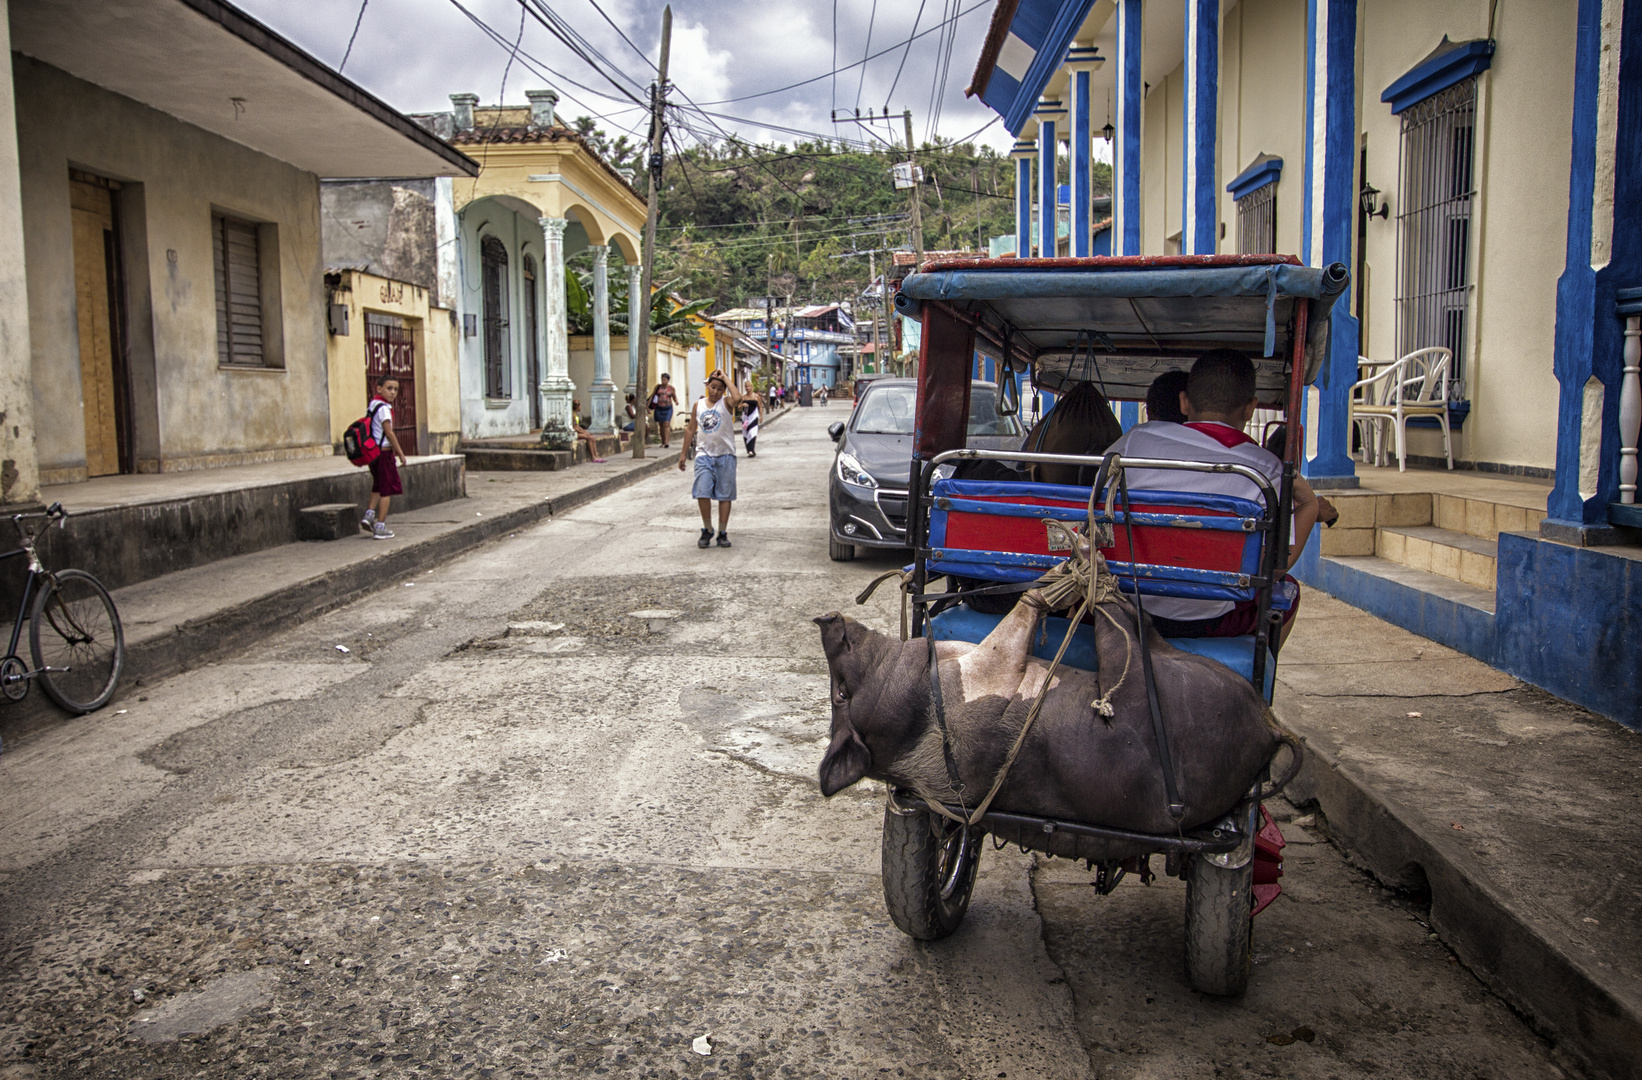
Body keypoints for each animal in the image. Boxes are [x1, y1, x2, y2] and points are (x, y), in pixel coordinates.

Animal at [814, 587, 1300, 833]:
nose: (824, 620)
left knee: (1144, 624)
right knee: (1126, 625)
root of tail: (1271, 729)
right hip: (1146, 690)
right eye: (841, 694)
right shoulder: (988, 671)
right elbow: (1017, 619)